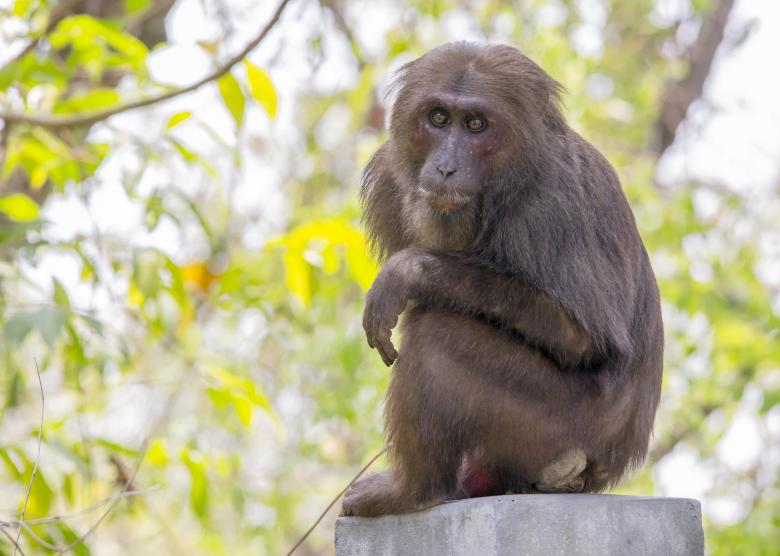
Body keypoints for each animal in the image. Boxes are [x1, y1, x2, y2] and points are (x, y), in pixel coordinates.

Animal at [340, 42, 663, 518]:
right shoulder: (387, 182)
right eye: (439, 118)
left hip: (559, 431)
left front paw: (411, 272)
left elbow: (584, 338)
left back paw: (416, 490)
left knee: (437, 335)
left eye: (476, 125)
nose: (446, 167)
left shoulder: (552, 206)